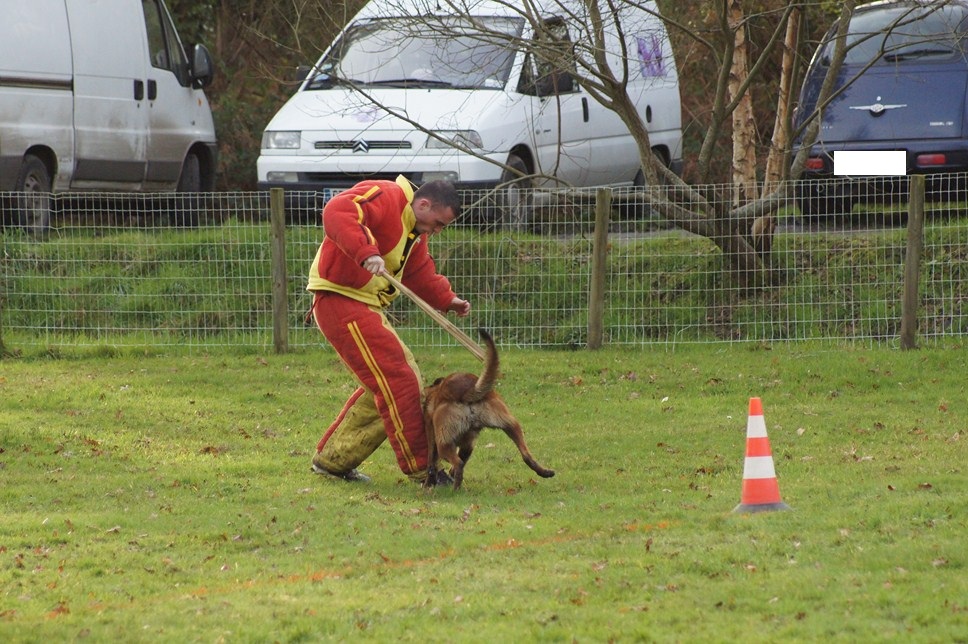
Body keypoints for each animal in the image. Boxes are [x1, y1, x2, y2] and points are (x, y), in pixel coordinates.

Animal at [422, 330, 556, 490]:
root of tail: (467, 391)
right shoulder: (468, 445)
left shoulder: (433, 435)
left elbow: (432, 463)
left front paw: (429, 483)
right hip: (511, 424)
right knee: (526, 455)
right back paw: (545, 472)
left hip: (444, 443)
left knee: (458, 463)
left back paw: (455, 489)